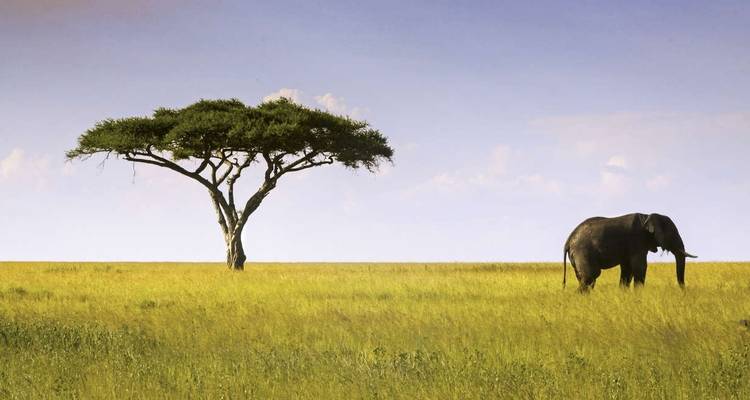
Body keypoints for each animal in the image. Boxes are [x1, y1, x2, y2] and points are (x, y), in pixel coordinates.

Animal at [563, 213, 696, 292]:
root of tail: (568, 240)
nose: (683, 291)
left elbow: (628, 270)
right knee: (591, 275)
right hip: (583, 252)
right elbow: (640, 267)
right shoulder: (637, 240)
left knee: (584, 277)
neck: (647, 216)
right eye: (672, 234)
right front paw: (638, 293)